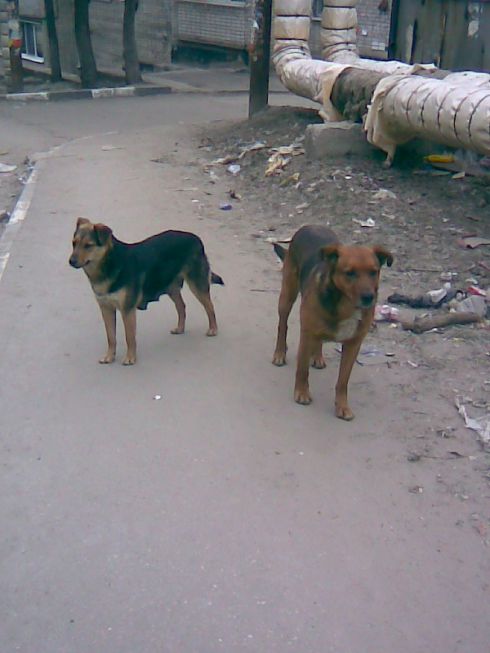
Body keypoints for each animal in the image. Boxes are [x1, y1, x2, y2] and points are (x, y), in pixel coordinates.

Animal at [69, 218, 223, 365]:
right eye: (73, 243)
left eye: (88, 245)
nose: (71, 261)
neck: (109, 263)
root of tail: (196, 238)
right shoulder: (106, 309)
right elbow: (111, 337)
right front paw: (109, 357)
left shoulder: (127, 310)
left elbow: (129, 337)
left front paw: (130, 358)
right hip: (171, 287)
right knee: (181, 306)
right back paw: (180, 328)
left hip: (197, 284)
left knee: (210, 306)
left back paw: (213, 329)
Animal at [272, 225, 393, 420]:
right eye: (350, 273)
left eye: (373, 272)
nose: (369, 297)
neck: (346, 305)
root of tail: (309, 226)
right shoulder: (307, 334)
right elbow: (302, 370)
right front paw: (302, 393)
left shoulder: (353, 344)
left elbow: (343, 381)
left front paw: (342, 406)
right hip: (287, 296)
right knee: (283, 325)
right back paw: (280, 353)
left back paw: (317, 357)